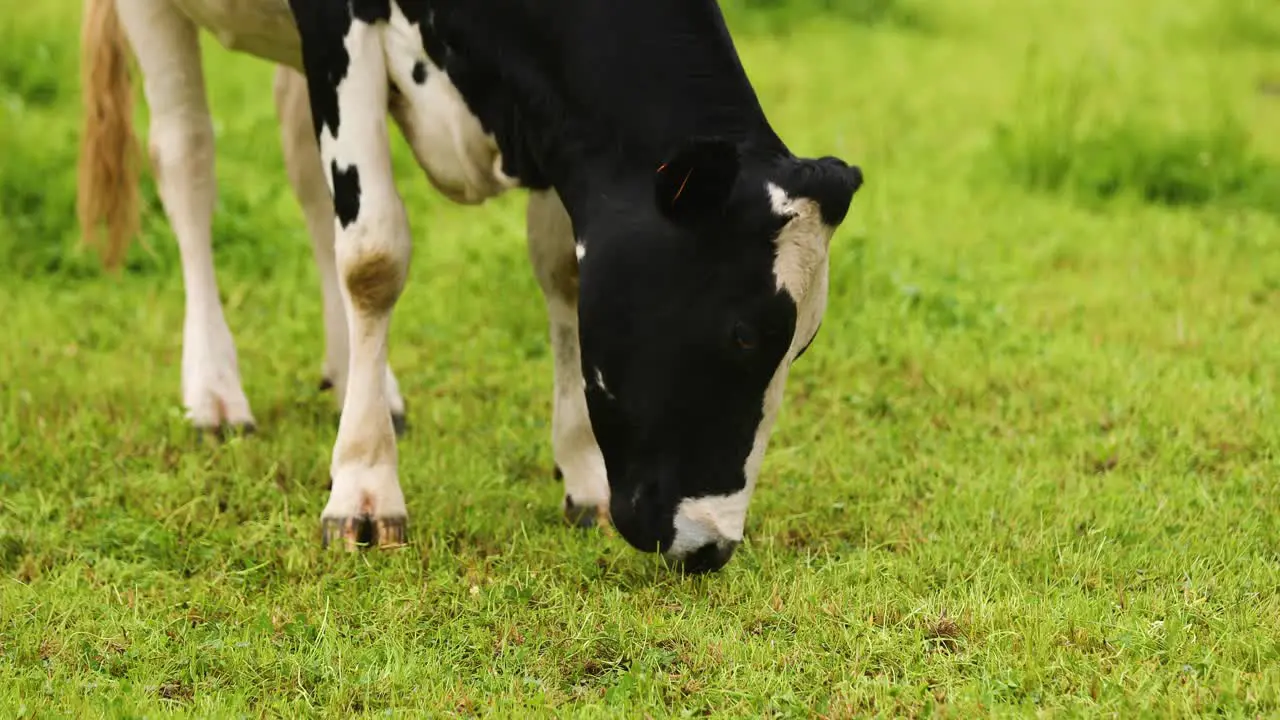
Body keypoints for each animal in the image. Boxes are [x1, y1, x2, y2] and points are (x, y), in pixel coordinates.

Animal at [77, 0, 860, 571]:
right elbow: (373, 256)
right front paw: (364, 491)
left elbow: (562, 271)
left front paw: (583, 474)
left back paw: (354, 377)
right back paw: (215, 393)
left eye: (802, 344)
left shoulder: (551, 120)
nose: (710, 546)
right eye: (742, 333)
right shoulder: (337, 24)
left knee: (301, 164)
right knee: (185, 156)